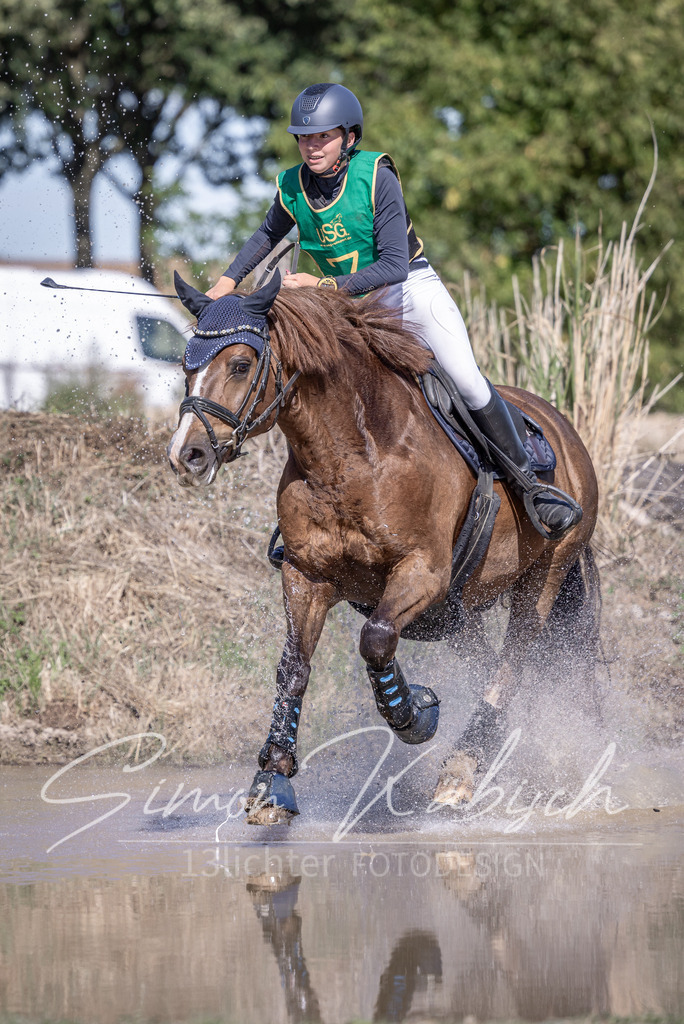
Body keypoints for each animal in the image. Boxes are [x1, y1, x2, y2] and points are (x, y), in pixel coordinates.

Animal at [167, 271, 600, 825]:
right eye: (186, 367)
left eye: (240, 365)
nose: (186, 456)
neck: (349, 456)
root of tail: (561, 426)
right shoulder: (307, 576)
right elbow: (294, 668)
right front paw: (272, 780)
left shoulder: (423, 572)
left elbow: (375, 638)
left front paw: (413, 714)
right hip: (457, 613)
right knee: (485, 660)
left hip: (543, 574)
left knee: (510, 663)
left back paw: (462, 771)